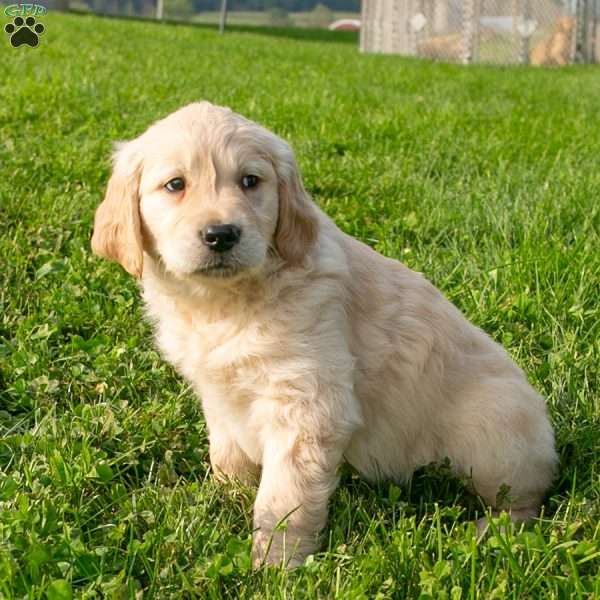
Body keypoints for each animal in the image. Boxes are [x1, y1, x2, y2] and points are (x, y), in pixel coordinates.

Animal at [90, 102, 556, 568]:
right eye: (175, 185)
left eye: (250, 181)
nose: (221, 235)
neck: (227, 302)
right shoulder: (218, 392)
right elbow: (225, 450)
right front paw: (225, 495)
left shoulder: (308, 405)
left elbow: (283, 498)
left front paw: (276, 563)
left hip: (491, 429)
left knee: (528, 499)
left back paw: (490, 530)